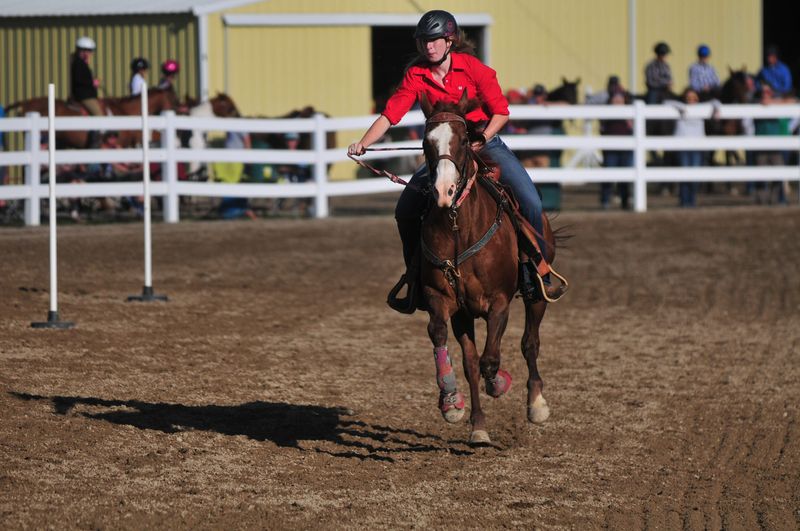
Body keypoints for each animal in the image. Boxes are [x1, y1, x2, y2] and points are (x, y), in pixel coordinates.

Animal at [417, 90, 559, 444]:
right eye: (426, 142)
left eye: (465, 139)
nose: (443, 192)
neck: (458, 226)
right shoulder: (445, 301)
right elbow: (447, 342)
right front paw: (451, 401)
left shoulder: (499, 303)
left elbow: (491, 359)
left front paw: (499, 383)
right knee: (471, 362)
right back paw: (478, 426)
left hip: (537, 294)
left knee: (530, 343)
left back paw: (536, 404)